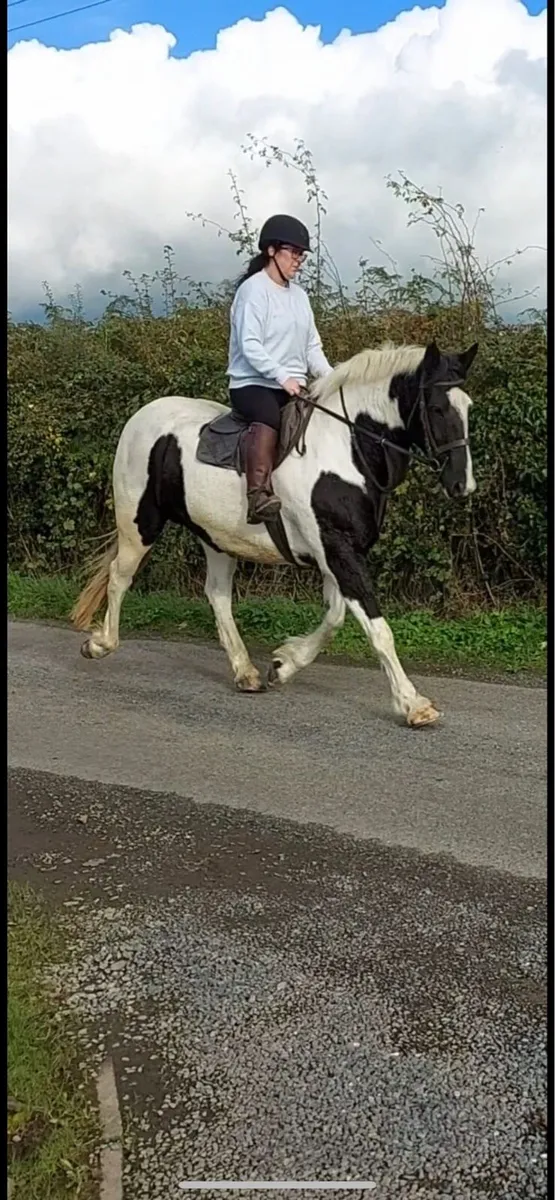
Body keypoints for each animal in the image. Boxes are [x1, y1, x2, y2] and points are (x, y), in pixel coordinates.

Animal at [71, 338, 478, 728]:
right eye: (437, 408)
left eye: (468, 407)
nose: (462, 485)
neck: (346, 452)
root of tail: (142, 416)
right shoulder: (337, 549)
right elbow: (377, 628)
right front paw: (414, 705)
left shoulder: (335, 553)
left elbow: (334, 617)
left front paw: (283, 665)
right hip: (138, 523)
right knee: (120, 576)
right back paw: (101, 644)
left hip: (216, 537)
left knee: (217, 595)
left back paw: (246, 672)